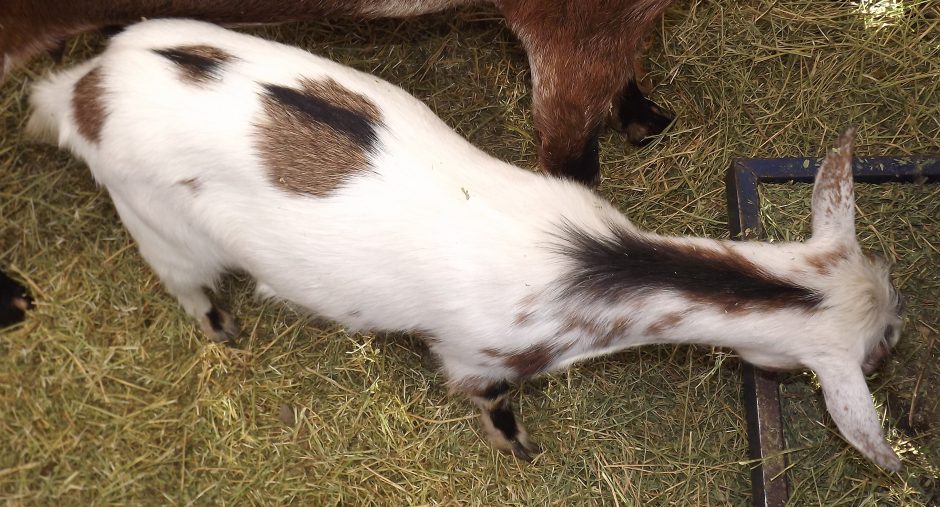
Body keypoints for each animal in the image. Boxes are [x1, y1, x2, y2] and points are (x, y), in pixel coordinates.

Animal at [27, 20, 903, 471]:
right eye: (873, 352)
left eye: (889, 283)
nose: (900, 330)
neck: (596, 266)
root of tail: (82, 90)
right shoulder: (476, 357)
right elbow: (492, 403)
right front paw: (518, 449)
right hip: (157, 224)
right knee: (188, 286)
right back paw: (225, 330)